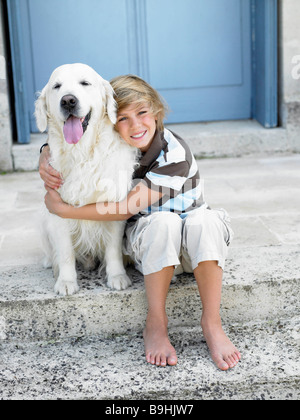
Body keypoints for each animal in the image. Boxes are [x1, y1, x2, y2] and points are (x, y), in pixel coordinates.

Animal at [35, 64, 137, 296]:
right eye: (57, 86)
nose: (68, 101)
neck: (81, 153)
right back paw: (49, 261)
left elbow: (113, 249)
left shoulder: (114, 207)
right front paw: (66, 281)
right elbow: (65, 252)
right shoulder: (57, 209)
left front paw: (117, 276)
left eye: (85, 83)